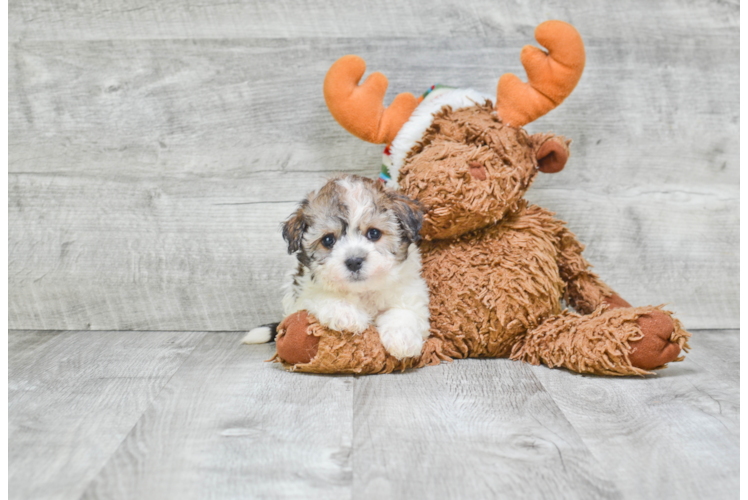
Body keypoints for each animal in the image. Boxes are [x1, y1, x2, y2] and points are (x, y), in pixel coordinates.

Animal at [243, 175, 430, 360]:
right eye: (328, 240)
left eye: (374, 233)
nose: (354, 261)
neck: (363, 291)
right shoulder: (303, 293)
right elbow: (322, 295)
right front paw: (346, 313)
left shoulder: (409, 291)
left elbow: (405, 311)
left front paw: (403, 338)